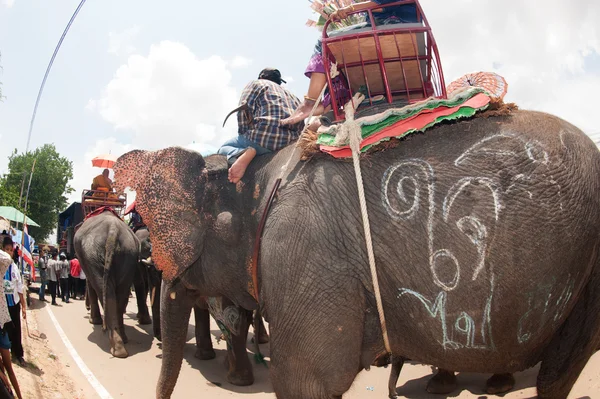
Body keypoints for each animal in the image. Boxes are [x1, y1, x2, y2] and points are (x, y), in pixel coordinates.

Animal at [74, 212, 141, 360]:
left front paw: (94, 321)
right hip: (128, 255)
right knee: (120, 294)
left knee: (102, 290)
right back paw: (122, 343)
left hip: (92, 255)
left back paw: (116, 349)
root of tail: (113, 230)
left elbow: (90, 284)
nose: (86, 307)